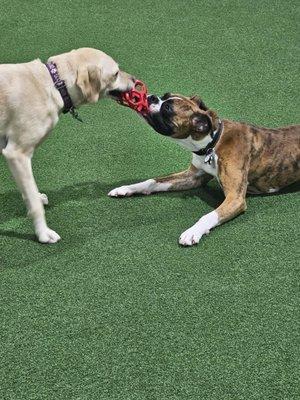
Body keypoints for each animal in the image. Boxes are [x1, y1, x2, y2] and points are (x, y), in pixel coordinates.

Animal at [109, 94, 298, 245]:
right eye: (165, 96)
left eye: (168, 108)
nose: (152, 97)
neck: (213, 143)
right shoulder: (193, 177)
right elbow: (152, 182)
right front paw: (125, 188)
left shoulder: (235, 198)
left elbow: (209, 215)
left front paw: (192, 232)